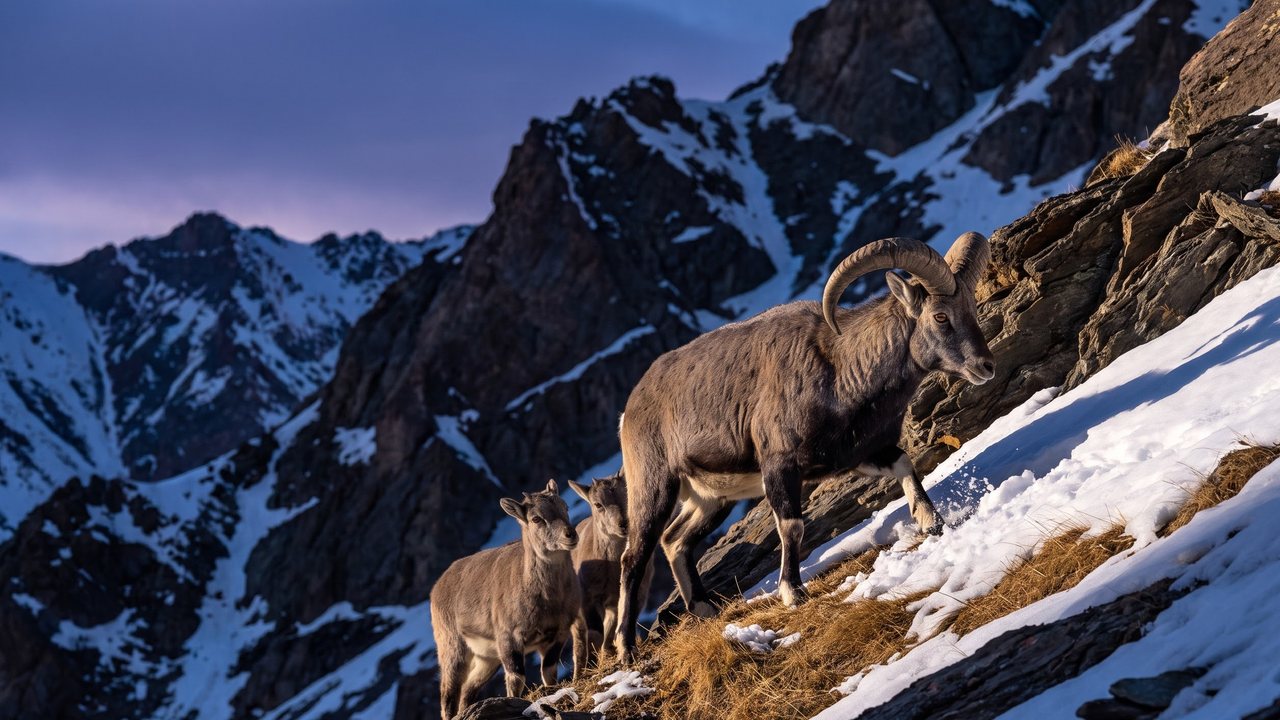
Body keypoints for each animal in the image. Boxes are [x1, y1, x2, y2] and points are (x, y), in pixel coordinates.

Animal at [431, 480, 581, 719]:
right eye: (536, 518)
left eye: (564, 507)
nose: (570, 535)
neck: (547, 600)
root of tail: (439, 584)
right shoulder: (508, 637)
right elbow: (516, 678)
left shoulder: (557, 634)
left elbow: (549, 673)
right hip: (452, 646)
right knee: (448, 694)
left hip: (486, 657)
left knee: (468, 690)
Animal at [566, 473, 652, 677]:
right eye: (598, 504)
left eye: (627, 493)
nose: (623, 524)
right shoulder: (588, 598)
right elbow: (594, 633)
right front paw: (593, 664)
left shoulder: (635, 594)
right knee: (579, 642)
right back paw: (579, 672)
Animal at [612, 233, 995, 662]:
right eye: (941, 316)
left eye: (971, 307)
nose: (986, 366)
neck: (839, 367)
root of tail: (629, 410)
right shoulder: (779, 465)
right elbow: (792, 526)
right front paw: (792, 591)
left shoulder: (856, 454)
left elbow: (904, 464)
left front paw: (932, 522)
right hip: (654, 485)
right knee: (634, 556)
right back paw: (626, 647)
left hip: (712, 497)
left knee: (675, 539)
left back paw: (703, 607)